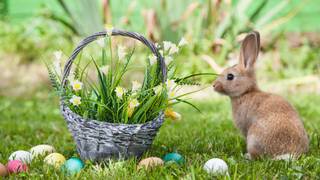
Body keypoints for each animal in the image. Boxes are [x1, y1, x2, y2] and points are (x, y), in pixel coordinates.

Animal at [214, 31, 308, 160]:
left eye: (230, 76)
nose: (214, 85)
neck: (246, 92)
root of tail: (288, 154)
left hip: (253, 138)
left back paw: (247, 156)